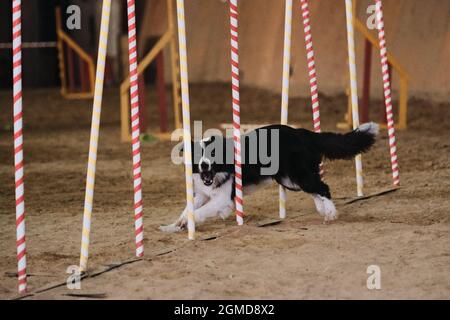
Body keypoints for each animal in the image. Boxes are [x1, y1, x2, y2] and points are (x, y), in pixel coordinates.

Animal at [160, 122, 378, 232]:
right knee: (316, 188)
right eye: (198, 155)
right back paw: (322, 209)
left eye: (213, 153)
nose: (204, 165)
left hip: (298, 174)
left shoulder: (222, 197)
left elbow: (200, 211)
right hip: (290, 179)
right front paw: (177, 223)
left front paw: (190, 221)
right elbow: (188, 207)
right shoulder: (203, 194)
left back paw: (331, 213)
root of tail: (303, 133)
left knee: (323, 187)